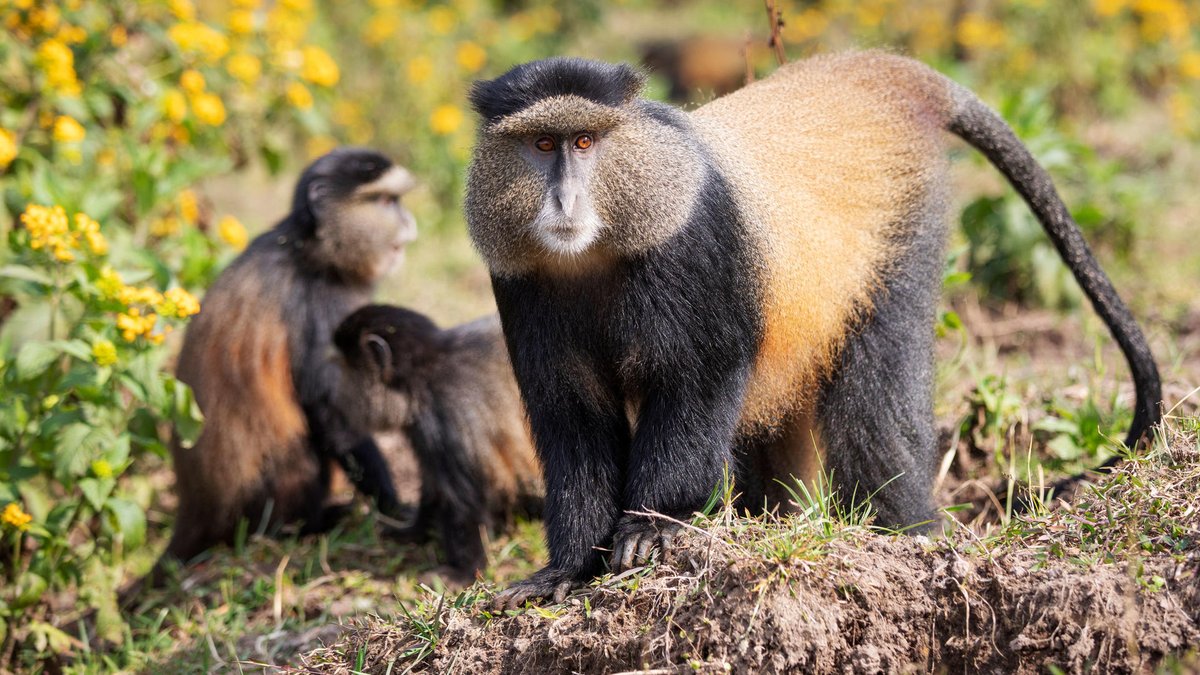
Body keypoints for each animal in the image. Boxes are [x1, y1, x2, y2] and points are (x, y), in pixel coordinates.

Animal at [160, 148, 418, 567]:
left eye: (396, 200)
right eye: (385, 201)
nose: (408, 222)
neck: (309, 248)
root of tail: (194, 513)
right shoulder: (321, 304)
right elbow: (330, 412)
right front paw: (394, 508)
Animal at [331, 304, 542, 584]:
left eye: (345, 370)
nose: (335, 391)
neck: (423, 375)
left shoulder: (445, 412)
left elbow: (461, 500)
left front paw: (463, 571)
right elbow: (434, 484)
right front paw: (413, 531)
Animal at [462, 53, 1163, 607]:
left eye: (584, 142)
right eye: (542, 145)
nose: (563, 202)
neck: (599, 249)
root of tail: (872, 74)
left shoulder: (694, 244)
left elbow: (701, 377)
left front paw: (657, 525)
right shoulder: (522, 284)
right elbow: (571, 416)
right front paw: (565, 569)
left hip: (901, 235)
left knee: (876, 409)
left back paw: (908, 536)